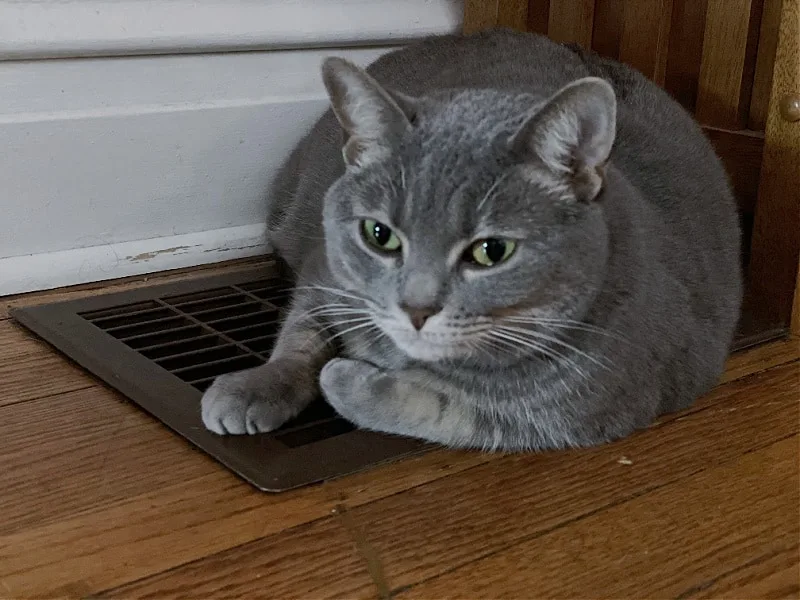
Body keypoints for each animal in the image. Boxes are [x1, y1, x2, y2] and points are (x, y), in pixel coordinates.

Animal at [202, 29, 744, 450]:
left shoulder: (575, 414)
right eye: (380, 236)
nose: (416, 309)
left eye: (492, 251)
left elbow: (431, 408)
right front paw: (253, 387)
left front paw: (345, 378)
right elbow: (299, 337)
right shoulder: (323, 274)